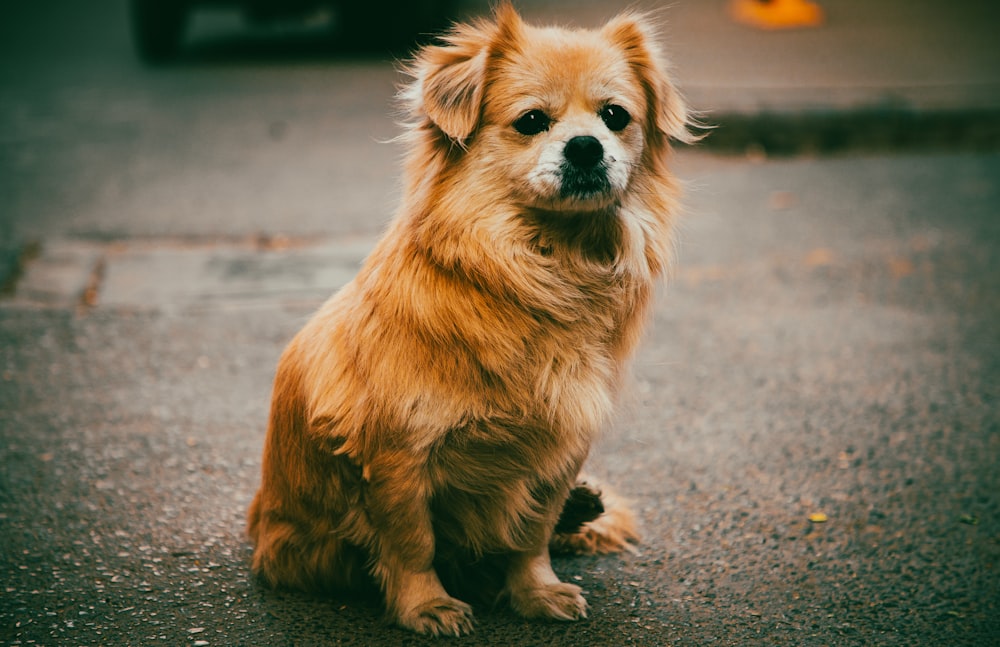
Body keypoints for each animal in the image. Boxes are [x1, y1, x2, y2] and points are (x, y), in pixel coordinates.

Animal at [246, 2, 692, 636]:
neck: (545, 262)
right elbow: (414, 543)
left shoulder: (558, 449)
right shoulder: (398, 457)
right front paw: (425, 606)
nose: (585, 146)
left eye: (615, 117)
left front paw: (536, 590)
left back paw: (581, 509)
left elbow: (531, 534)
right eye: (531, 121)